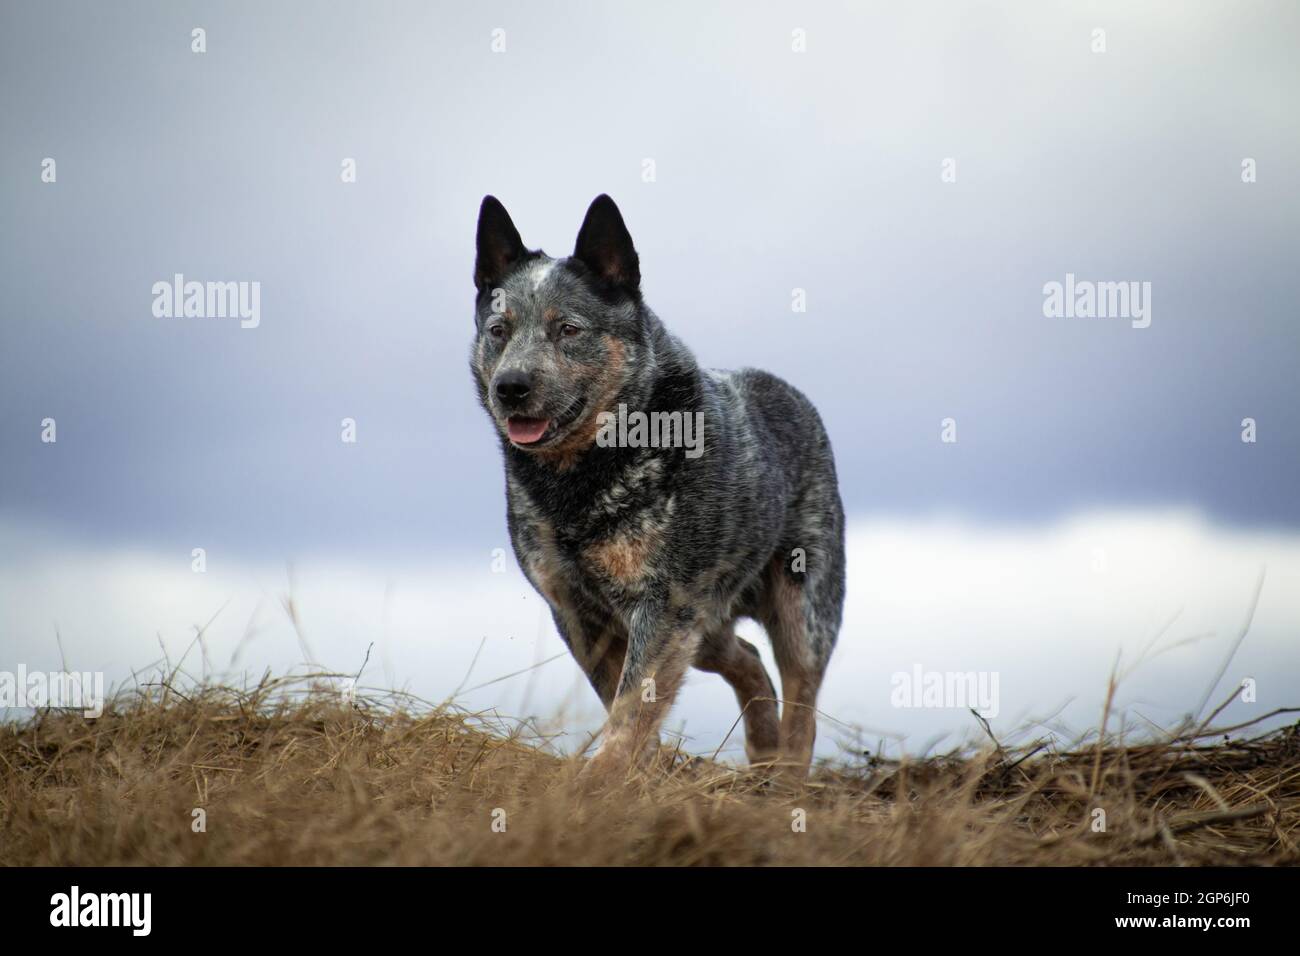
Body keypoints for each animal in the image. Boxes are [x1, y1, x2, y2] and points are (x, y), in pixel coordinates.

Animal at [473, 192, 847, 780]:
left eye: (568, 329)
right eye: (498, 330)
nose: (511, 387)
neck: (583, 477)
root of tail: (791, 394)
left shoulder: (663, 605)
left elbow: (632, 705)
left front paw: (600, 776)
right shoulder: (578, 615)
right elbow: (619, 699)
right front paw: (639, 773)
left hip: (799, 607)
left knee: (801, 698)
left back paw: (786, 781)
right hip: (704, 625)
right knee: (749, 659)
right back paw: (762, 751)